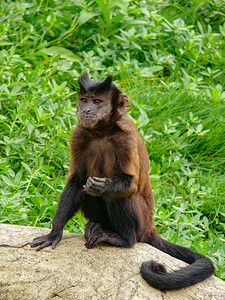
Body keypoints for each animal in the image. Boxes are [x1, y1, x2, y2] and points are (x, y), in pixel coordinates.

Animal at [30, 72, 214, 290]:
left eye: (97, 101)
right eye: (84, 100)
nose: (86, 110)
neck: (101, 132)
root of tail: (149, 226)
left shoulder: (126, 136)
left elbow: (128, 184)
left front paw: (104, 186)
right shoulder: (79, 135)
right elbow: (77, 182)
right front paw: (54, 232)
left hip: (141, 222)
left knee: (119, 196)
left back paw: (124, 239)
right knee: (87, 191)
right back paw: (99, 226)